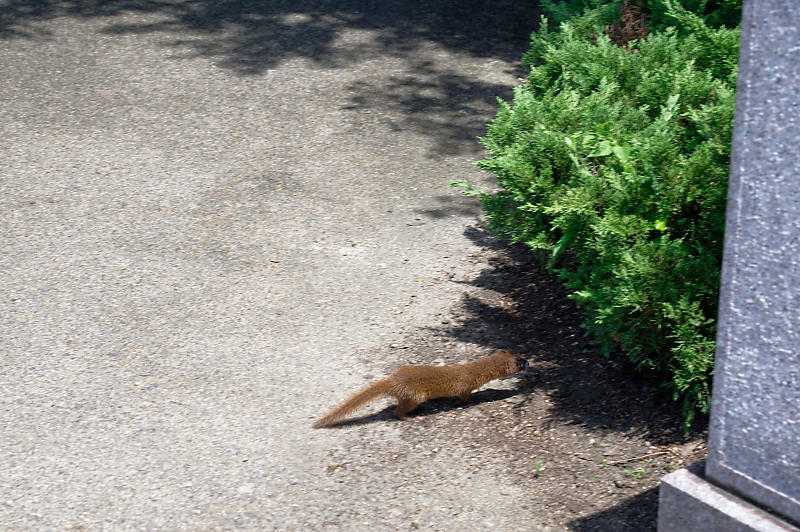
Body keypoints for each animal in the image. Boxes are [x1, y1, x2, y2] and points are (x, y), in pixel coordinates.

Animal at [314, 350, 532, 428]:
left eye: (520, 355)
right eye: (520, 363)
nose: (529, 361)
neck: (472, 370)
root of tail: (393, 380)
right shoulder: (466, 385)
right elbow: (464, 397)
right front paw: (457, 402)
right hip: (415, 396)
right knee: (398, 412)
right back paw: (413, 417)